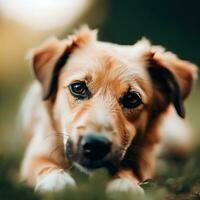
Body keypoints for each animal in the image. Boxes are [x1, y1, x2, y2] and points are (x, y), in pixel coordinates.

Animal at [19, 26, 198, 194]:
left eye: (132, 98)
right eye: (78, 87)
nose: (95, 146)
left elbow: (128, 170)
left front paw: (124, 183)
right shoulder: (36, 154)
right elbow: (43, 165)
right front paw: (56, 180)